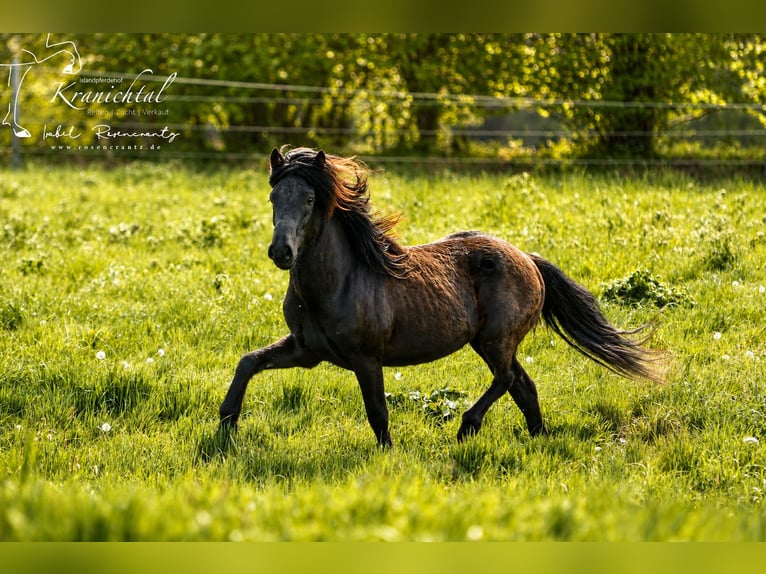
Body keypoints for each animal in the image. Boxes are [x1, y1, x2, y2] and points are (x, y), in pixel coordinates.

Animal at [219, 147, 662, 447]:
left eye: (310, 199)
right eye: (274, 198)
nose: (281, 252)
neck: (340, 282)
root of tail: (529, 260)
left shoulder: (366, 358)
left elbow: (377, 412)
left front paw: (387, 455)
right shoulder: (307, 350)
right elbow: (249, 362)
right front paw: (226, 423)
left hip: (494, 340)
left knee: (507, 378)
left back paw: (467, 427)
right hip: (492, 342)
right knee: (523, 384)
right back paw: (538, 437)